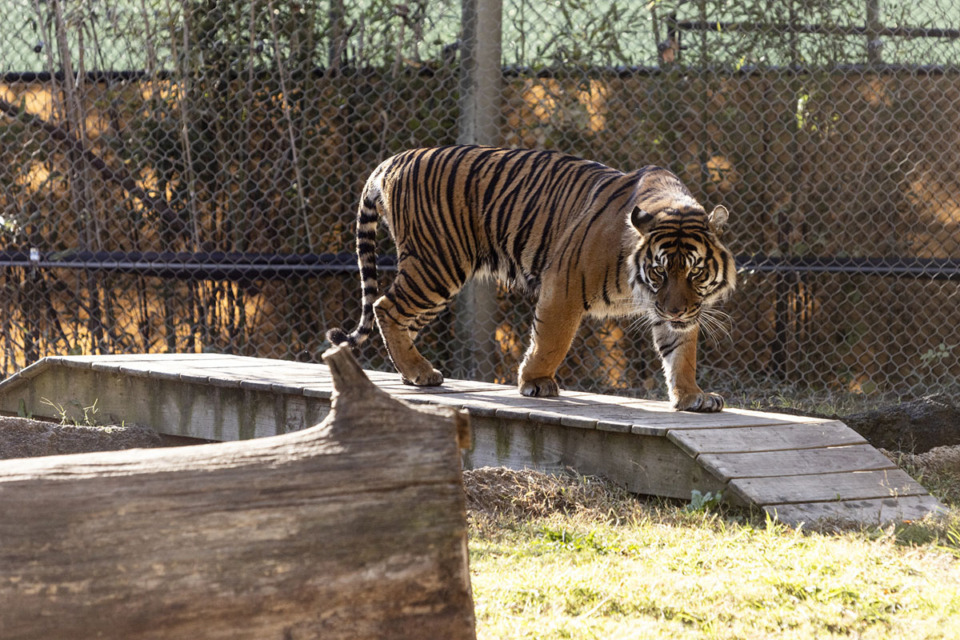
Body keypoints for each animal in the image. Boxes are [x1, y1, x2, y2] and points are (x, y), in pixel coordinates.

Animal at [326, 146, 740, 412]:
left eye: (695, 271)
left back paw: (410, 372)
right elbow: (551, 341)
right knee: (385, 307)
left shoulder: (677, 309)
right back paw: (420, 373)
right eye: (658, 270)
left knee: (399, 319)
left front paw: (691, 396)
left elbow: (681, 353)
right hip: (437, 265)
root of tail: (393, 160)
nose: (675, 311)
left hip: (434, 276)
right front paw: (536, 381)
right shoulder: (565, 284)